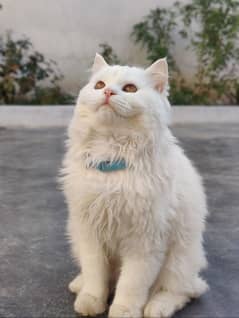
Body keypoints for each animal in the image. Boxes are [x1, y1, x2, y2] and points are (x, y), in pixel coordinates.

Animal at [60, 54, 208, 318]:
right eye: (99, 85)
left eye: (130, 89)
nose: (108, 92)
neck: (111, 158)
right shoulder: (89, 232)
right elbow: (95, 275)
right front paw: (91, 301)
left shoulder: (145, 240)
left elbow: (131, 285)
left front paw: (124, 311)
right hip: (75, 237)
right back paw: (79, 284)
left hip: (179, 261)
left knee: (181, 292)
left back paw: (157, 308)